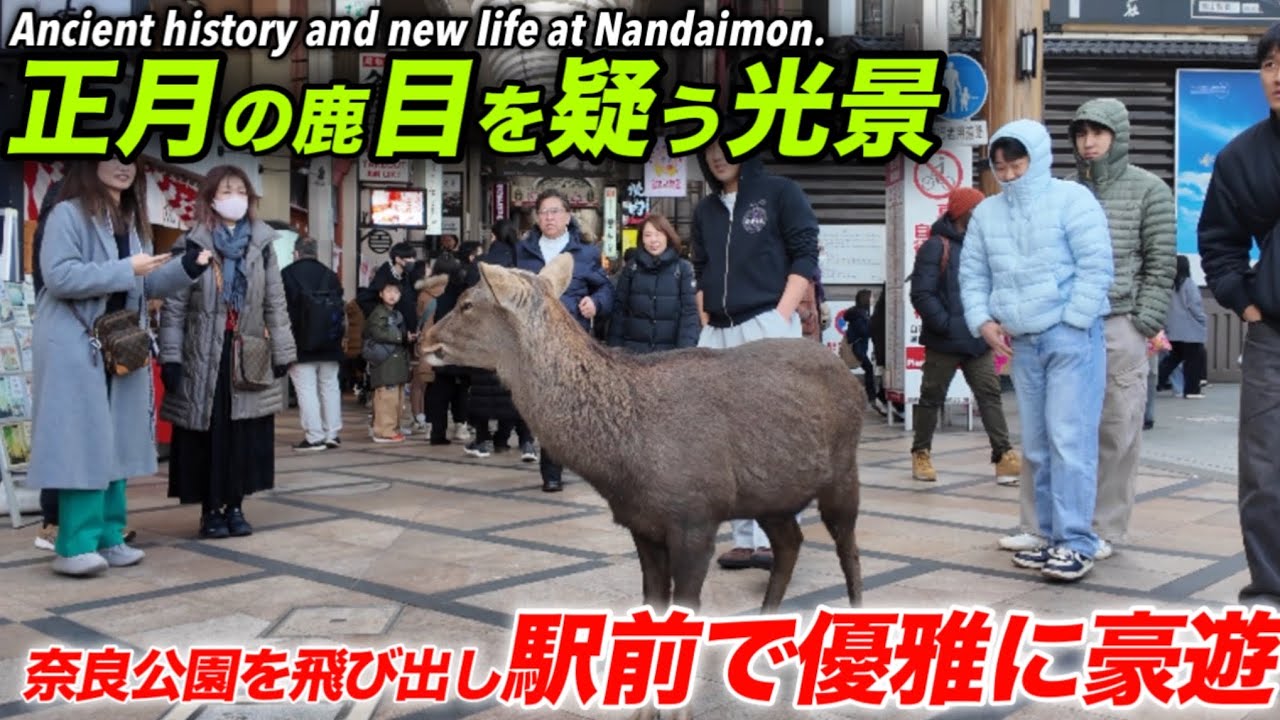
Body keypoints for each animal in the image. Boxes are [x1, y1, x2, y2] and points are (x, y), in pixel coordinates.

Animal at [420, 255, 864, 719]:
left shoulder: (695, 516)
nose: (423, 341)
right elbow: (654, 607)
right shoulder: (644, 525)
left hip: (843, 471)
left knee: (847, 549)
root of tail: (847, 372)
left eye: (467, 303)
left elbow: (685, 609)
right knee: (791, 542)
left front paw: (678, 711)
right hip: (771, 496)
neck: (622, 462)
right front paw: (644, 711)